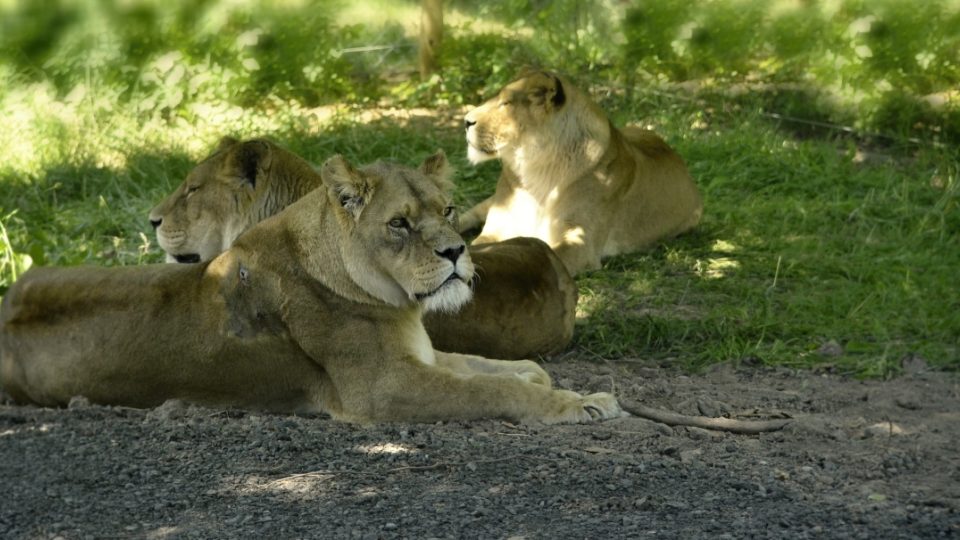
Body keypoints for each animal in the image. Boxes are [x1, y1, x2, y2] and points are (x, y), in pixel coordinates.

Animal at [462, 70, 700, 276]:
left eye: (506, 103)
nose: (465, 120)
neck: (535, 169)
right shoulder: (497, 228)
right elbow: (476, 247)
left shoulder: (580, 241)